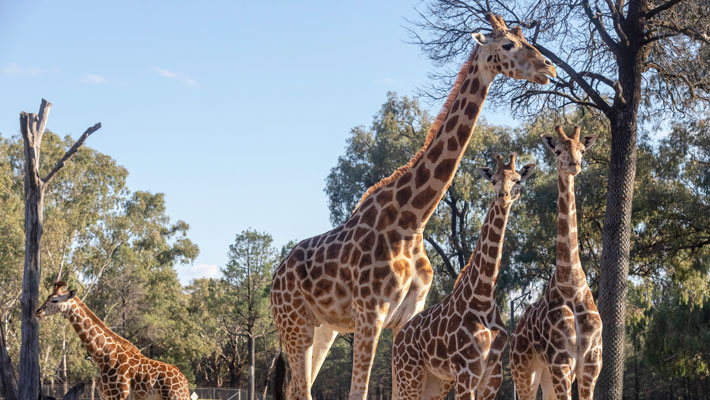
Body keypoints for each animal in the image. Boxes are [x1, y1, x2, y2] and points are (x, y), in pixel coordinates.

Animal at [35, 282, 192, 400]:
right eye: (48, 297)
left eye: (54, 300)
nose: (38, 311)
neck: (103, 356)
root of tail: (185, 384)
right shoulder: (104, 396)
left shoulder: (118, 396)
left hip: (175, 397)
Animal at [392, 152, 536, 398]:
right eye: (493, 180)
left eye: (517, 180)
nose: (503, 196)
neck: (483, 296)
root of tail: (399, 339)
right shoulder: (467, 371)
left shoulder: (493, 375)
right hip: (409, 377)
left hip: (436, 382)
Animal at [512, 126, 608, 400]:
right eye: (557, 150)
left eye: (582, 149)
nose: (574, 164)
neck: (572, 283)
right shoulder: (561, 360)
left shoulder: (591, 362)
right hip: (524, 371)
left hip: (545, 374)